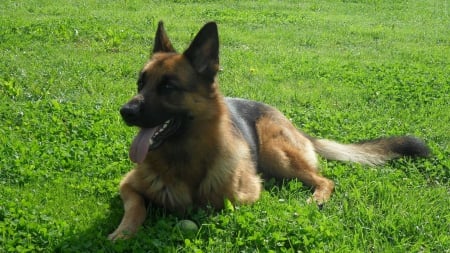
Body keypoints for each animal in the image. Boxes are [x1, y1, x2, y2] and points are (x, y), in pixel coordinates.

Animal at [109, 21, 428, 239]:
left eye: (168, 87)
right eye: (140, 84)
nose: (125, 112)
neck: (184, 158)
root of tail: (293, 124)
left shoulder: (243, 196)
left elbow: (212, 205)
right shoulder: (127, 185)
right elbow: (136, 208)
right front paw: (121, 233)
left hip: (277, 152)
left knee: (325, 180)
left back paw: (317, 198)